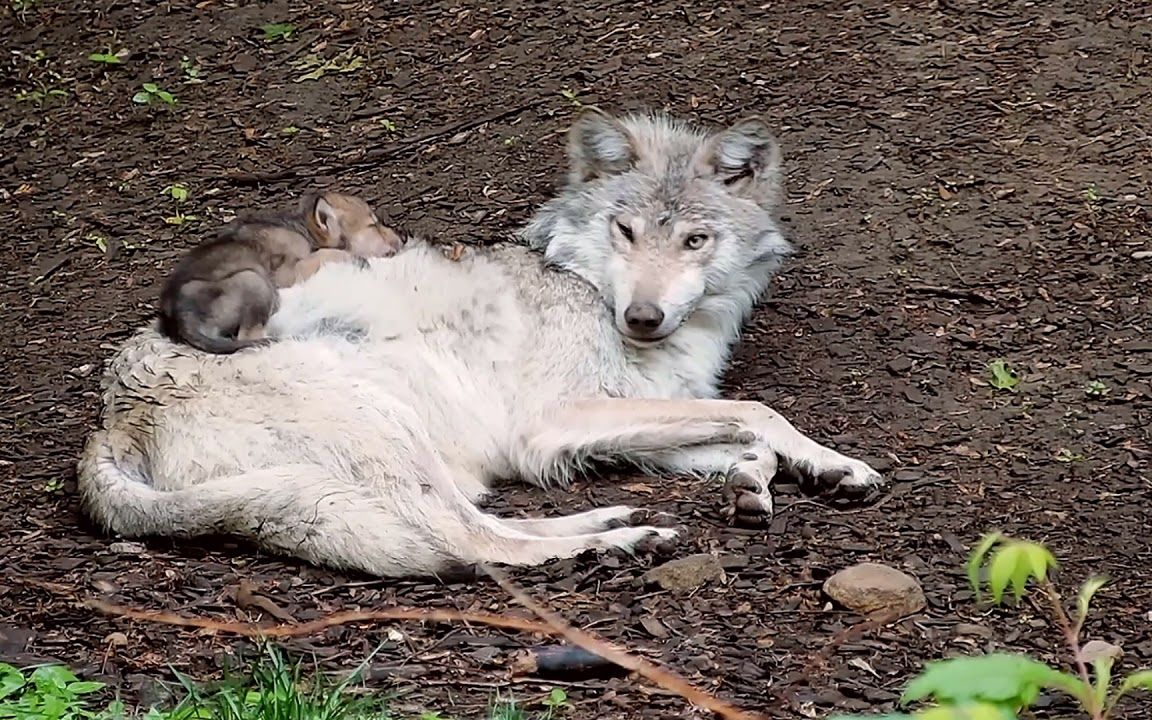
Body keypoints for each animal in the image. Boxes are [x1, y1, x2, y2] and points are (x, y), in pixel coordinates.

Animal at [76, 108, 880, 578]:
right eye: (625, 231)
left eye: (693, 240)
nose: (643, 317)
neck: (583, 284)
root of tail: (108, 421)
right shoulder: (554, 423)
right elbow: (759, 413)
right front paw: (832, 462)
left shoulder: (620, 423)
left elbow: (750, 439)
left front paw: (775, 479)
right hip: (389, 431)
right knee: (467, 545)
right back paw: (617, 542)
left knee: (481, 524)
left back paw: (612, 522)